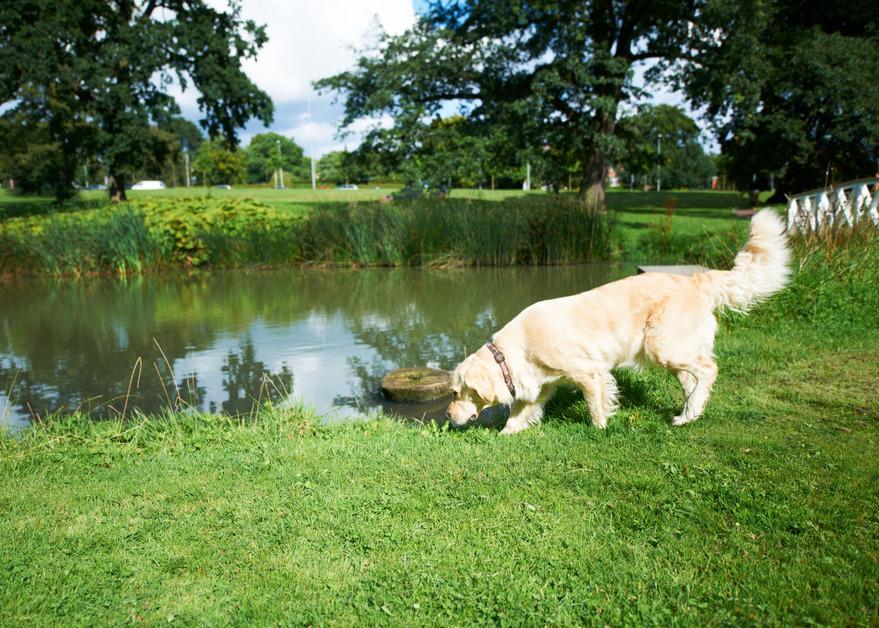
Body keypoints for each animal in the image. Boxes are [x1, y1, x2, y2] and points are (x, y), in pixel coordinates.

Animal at [446, 209, 792, 434]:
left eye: (454, 393)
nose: (448, 417)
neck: (513, 352)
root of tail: (695, 280)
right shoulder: (541, 385)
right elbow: (518, 415)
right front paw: (505, 435)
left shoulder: (589, 371)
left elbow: (595, 402)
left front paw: (599, 429)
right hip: (672, 353)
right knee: (693, 382)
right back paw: (688, 415)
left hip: (662, 346)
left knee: (709, 369)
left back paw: (690, 410)